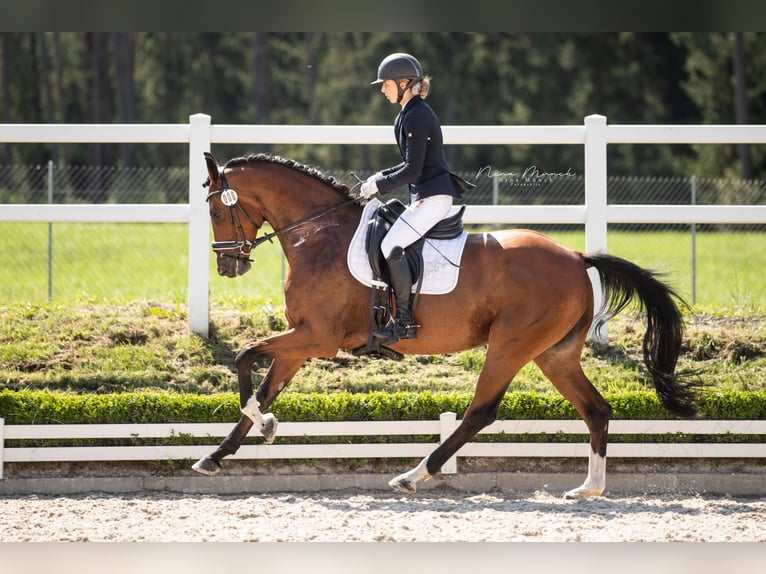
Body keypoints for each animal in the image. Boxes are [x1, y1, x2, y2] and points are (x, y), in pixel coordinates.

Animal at [194, 152, 704, 500]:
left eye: (216, 211)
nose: (228, 267)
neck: (320, 236)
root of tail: (577, 257)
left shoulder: (316, 337)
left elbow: (245, 357)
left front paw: (264, 425)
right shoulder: (300, 342)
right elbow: (262, 387)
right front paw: (219, 454)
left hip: (511, 346)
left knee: (481, 411)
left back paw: (412, 475)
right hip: (553, 353)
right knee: (595, 409)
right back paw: (587, 489)